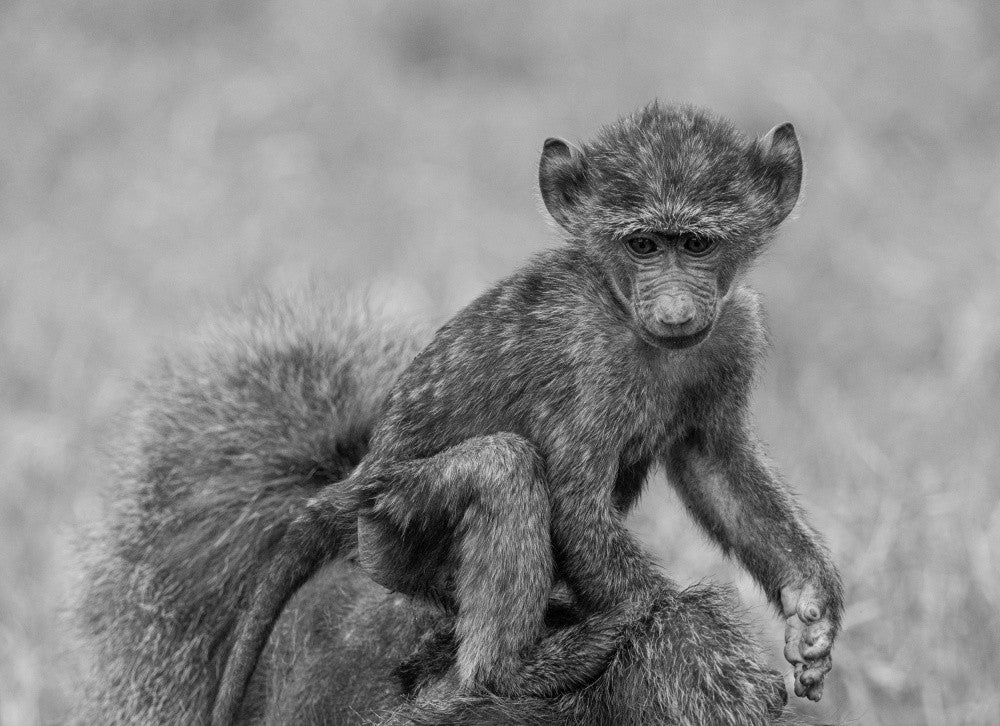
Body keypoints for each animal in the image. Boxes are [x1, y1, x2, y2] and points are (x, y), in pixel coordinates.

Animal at [212, 101, 844, 724]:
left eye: (696, 245)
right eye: (643, 246)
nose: (675, 311)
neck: (624, 312)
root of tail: (360, 481)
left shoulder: (736, 330)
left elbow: (713, 464)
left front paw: (809, 605)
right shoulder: (589, 358)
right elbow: (575, 504)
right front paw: (680, 633)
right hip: (397, 525)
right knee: (505, 467)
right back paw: (514, 670)